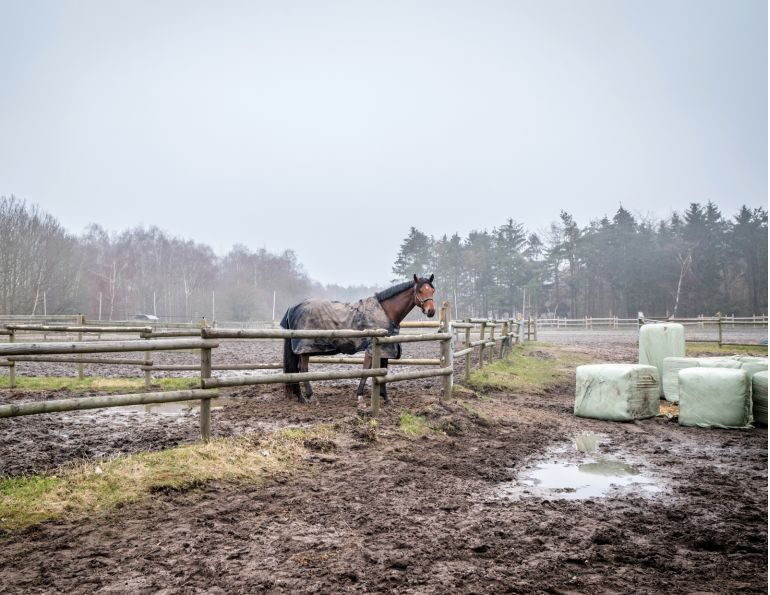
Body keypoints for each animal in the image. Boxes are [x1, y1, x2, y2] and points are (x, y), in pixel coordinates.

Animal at [280, 274, 436, 404]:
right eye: (420, 291)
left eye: (432, 291)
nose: (431, 312)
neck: (386, 312)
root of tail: (293, 308)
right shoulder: (372, 349)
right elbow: (366, 370)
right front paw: (360, 395)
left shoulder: (385, 350)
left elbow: (383, 371)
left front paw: (386, 398)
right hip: (304, 349)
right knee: (303, 370)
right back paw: (310, 396)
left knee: (296, 371)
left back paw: (300, 397)